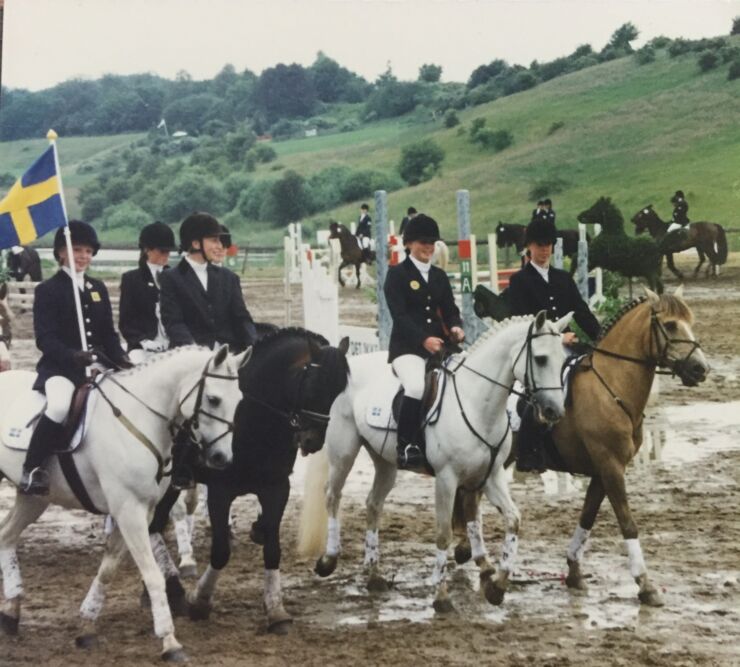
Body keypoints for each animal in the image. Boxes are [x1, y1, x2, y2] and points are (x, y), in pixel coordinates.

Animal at [0, 344, 250, 664]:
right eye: (213, 399)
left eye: (239, 400)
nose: (222, 459)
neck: (140, 417)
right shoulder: (129, 511)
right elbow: (153, 575)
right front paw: (170, 642)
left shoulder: (138, 511)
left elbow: (107, 569)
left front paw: (87, 626)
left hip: (34, 498)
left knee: (6, 536)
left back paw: (11, 612)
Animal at [139, 332, 352, 636]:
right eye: (313, 384)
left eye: (336, 392)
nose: (312, 441)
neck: (255, 420)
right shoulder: (220, 492)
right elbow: (220, 552)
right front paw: (200, 601)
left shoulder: (276, 489)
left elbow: (273, 549)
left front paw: (276, 611)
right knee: (150, 526)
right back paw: (175, 590)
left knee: (152, 526)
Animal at [300, 310, 572, 612]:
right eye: (541, 359)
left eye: (562, 360)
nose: (554, 411)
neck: (477, 404)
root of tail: (348, 365)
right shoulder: (446, 478)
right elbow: (444, 533)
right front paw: (442, 596)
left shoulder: (491, 476)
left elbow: (513, 519)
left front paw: (497, 586)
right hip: (344, 451)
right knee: (332, 496)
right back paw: (329, 559)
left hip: (385, 461)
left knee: (373, 503)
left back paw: (374, 574)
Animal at [454, 290, 708, 608]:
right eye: (671, 325)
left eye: (690, 322)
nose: (700, 368)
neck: (610, 386)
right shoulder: (611, 467)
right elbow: (627, 522)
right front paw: (645, 584)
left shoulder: (604, 471)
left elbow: (587, 516)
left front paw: (574, 570)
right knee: (469, 501)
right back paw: (481, 561)